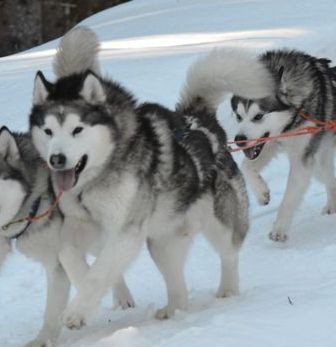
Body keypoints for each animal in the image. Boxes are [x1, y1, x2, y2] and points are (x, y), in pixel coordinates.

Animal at [26, 27, 272, 332]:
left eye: (77, 129)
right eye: (48, 131)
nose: (57, 159)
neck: (95, 179)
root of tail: (198, 120)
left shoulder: (126, 232)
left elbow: (100, 272)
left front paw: (77, 311)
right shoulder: (78, 224)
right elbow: (71, 256)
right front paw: (88, 289)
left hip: (219, 224)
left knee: (229, 253)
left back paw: (227, 291)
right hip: (162, 242)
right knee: (178, 288)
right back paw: (173, 309)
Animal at [232, 49, 336, 242]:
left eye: (258, 116)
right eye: (238, 116)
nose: (239, 140)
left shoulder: (301, 160)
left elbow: (289, 198)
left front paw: (279, 228)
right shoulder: (270, 142)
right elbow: (246, 167)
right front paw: (261, 193)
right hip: (319, 159)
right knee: (329, 178)